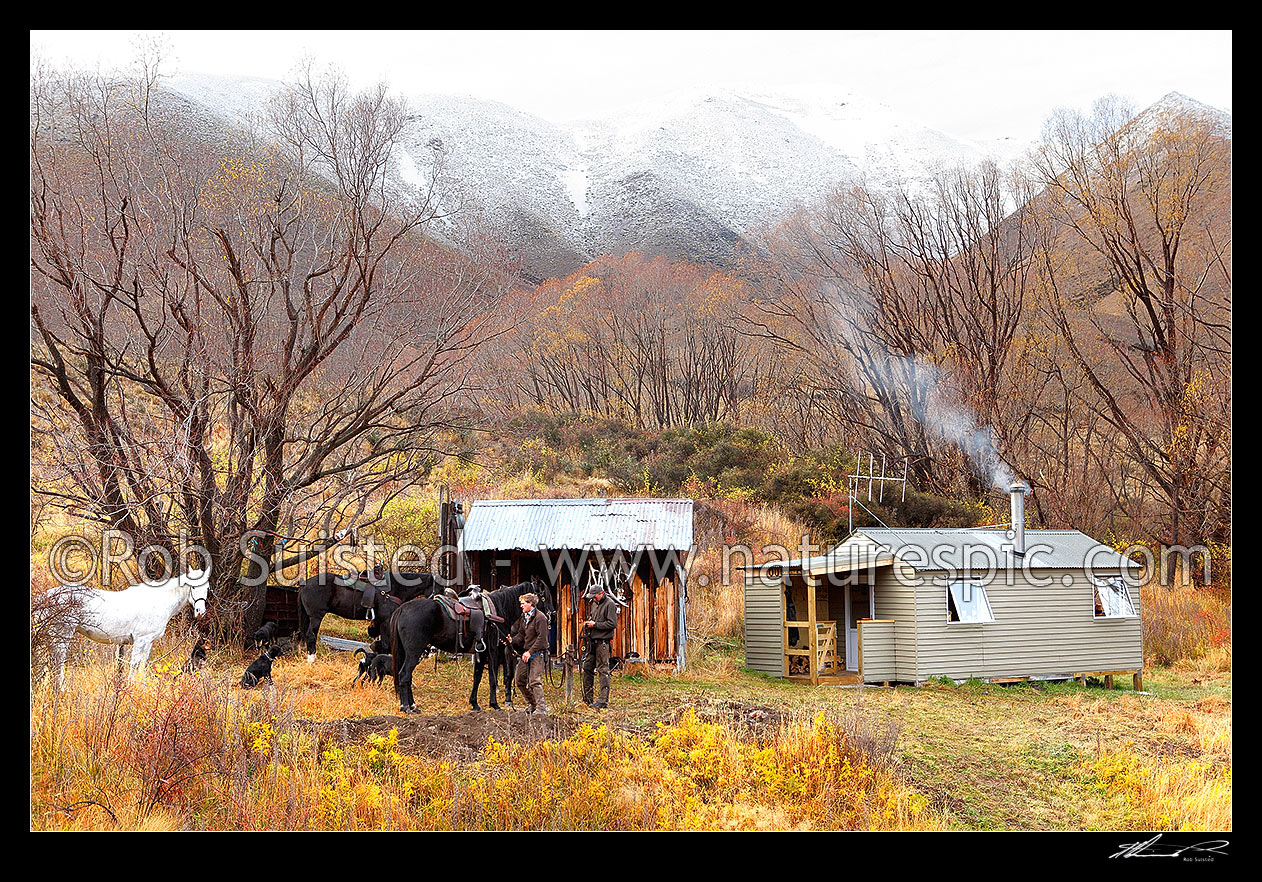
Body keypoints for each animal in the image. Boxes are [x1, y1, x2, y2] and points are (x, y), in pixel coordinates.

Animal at [47, 565, 212, 691]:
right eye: (192, 586)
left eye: (207, 588)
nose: (200, 612)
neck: (158, 601)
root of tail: (47, 596)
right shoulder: (141, 640)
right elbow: (134, 664)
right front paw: (131, 687)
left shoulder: (148, 642)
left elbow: (142, 665)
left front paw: (142, 687)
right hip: (63, 634)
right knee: (59, 660)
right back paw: (62, 688)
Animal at [297, 570, 436, 661]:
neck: (396, 587)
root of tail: (305, 584)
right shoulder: (386, 621)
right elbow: (385, 645)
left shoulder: (379, 622)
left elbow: (381, 645)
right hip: (316, 617)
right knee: (311, 636)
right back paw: (312, 659)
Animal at [391, 580, 555, 716]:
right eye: (544, 597)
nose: (552, 615)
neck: (498, 609)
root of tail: (402, 609)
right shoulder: (493, 651)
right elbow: (492, 678)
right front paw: (495, 705)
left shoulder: (481, 652)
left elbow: (477, 677)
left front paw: (475, 704)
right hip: (414, 652)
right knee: (405, 675)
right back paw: (407, 707)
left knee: (407, 676)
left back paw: (413, 706)